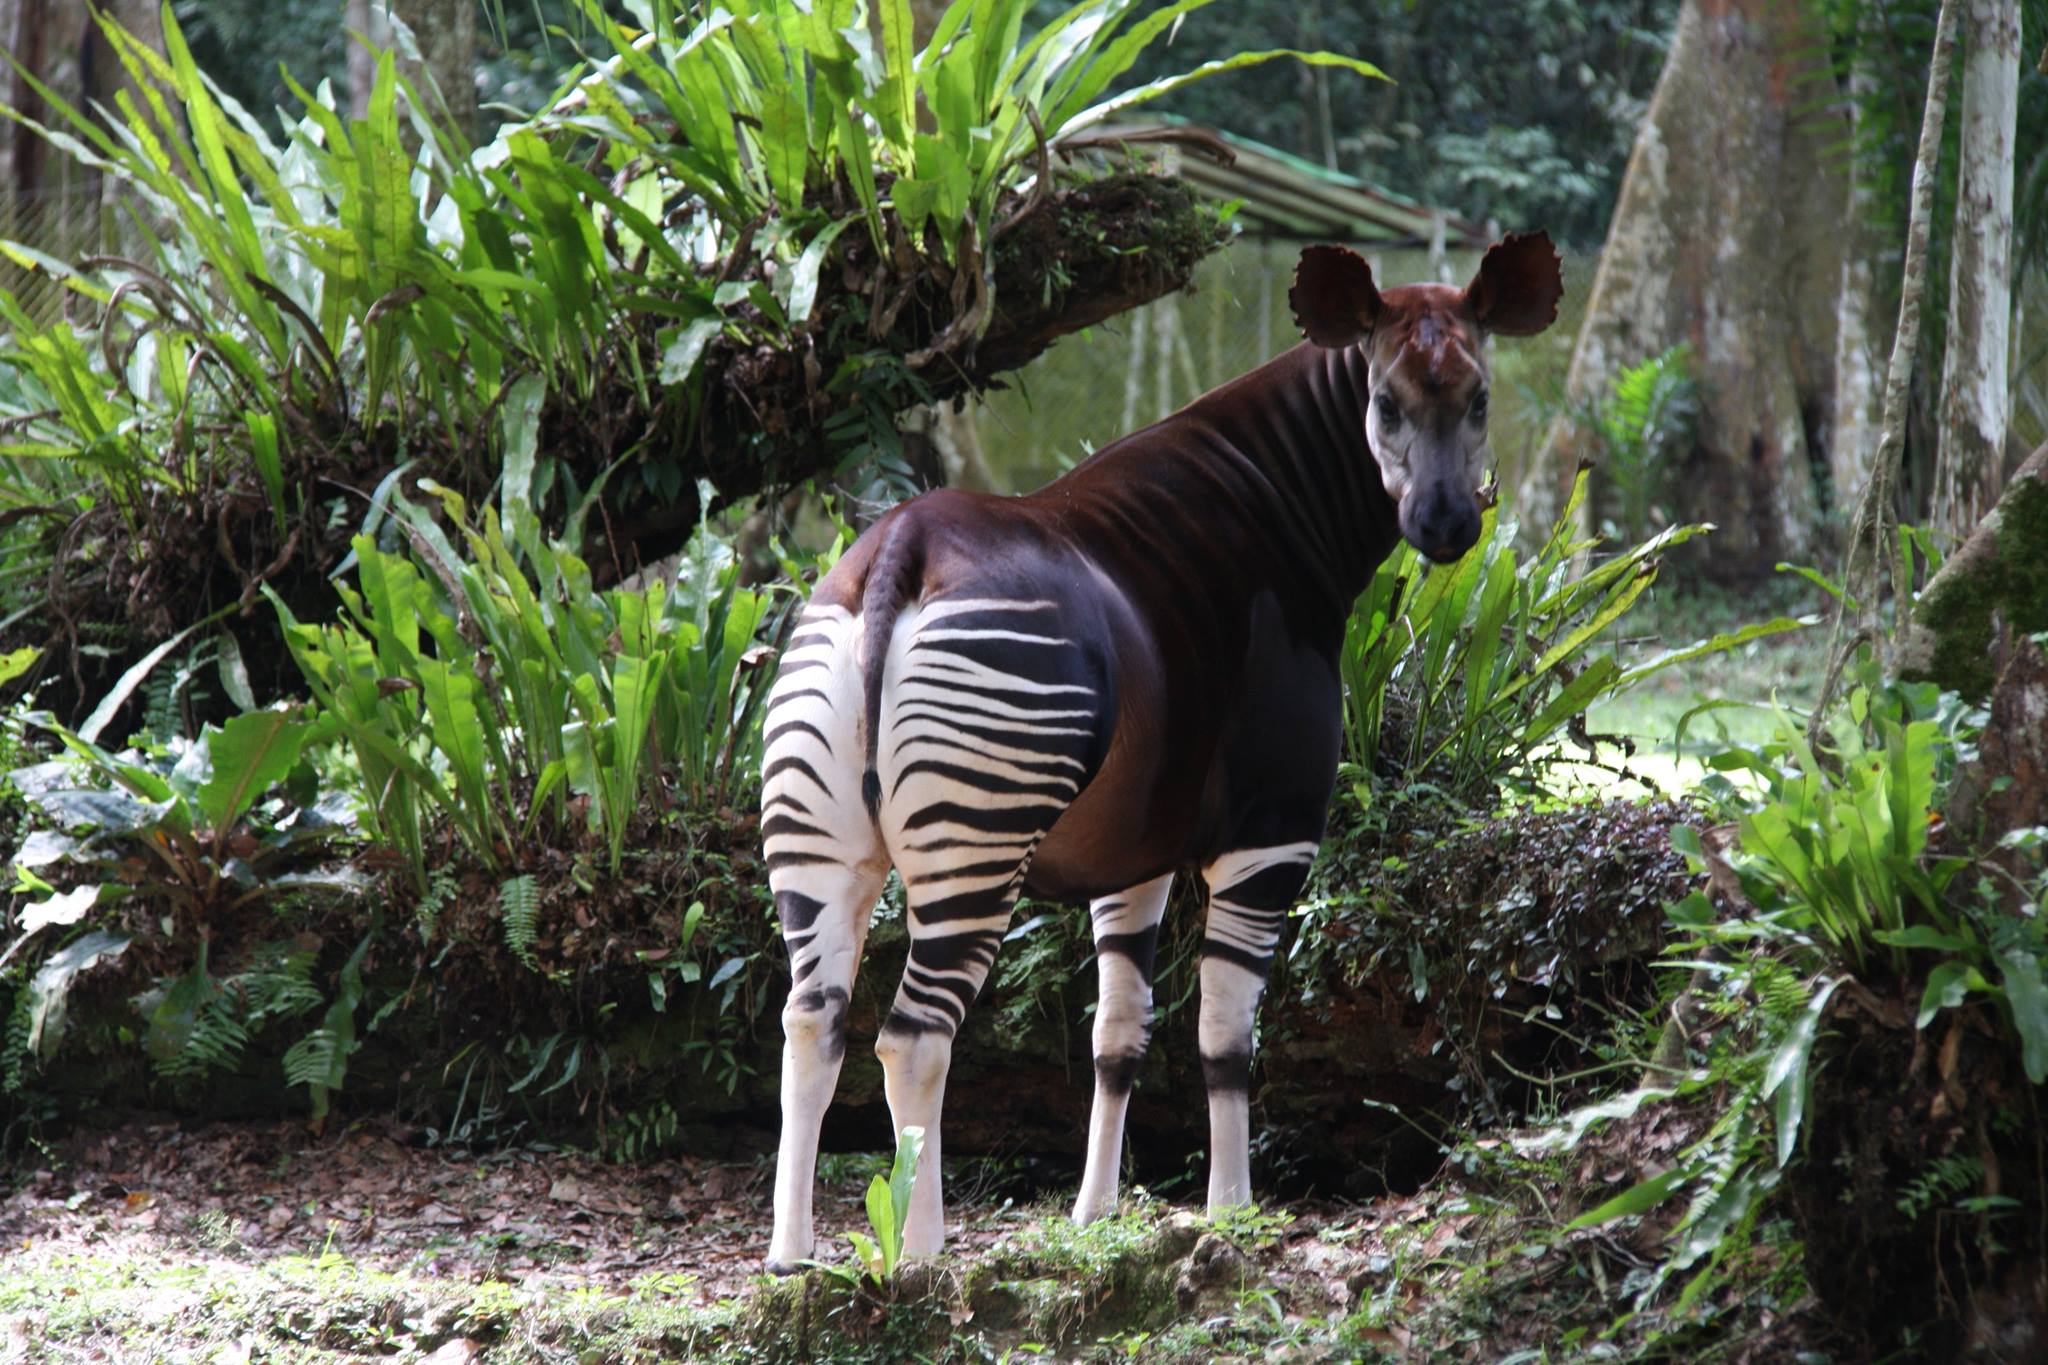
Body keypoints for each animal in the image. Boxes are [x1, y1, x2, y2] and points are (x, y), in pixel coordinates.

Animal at [761, 233, 1564, 1270]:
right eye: (1384, 402)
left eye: (1478, 398)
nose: (1446, 523)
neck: (1284, 508)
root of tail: (900, 545)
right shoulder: (1272, 830)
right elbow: (1224, 1036)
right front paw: (1231, 1214)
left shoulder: (1132, 849)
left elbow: (1118, 1034)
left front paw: (1094, 1214)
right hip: (974, 840)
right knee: (913, 1037)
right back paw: (922, 1252)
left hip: (823, 844)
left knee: (810, 1024)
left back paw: (791, 1257)